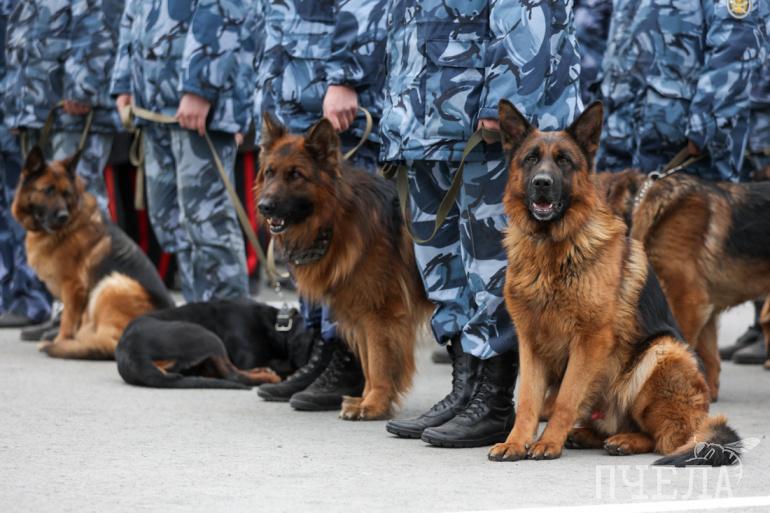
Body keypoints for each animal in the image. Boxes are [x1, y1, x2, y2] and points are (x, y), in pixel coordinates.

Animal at [11, 146, 175, 359]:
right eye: (48, 190)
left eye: (66, 193)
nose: (63, 216)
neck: (70, 223)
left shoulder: (73, 287)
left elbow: (67, 321)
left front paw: (60, 340)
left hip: (112, 284)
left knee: (110, 344)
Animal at [116, 299, 314, 389]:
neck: (277, 327)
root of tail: (132, 354)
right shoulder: (247, 358)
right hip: (207, 337)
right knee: (234, 375)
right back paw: (267, 376)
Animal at [255, 113, 432, 420]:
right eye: (269, 172)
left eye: (295, 174)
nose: (264, 207)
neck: (335, 220)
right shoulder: (360, 312)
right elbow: (369, 364)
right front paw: (365, 399)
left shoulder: (380, 314)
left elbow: (379, 362)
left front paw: (374, 404)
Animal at [488, 101, 738, 466]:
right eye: (531, 159)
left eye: (564, 160)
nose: (542, 183)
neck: (552, 249)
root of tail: (701, 421)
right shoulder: (530, 342)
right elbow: (528, 401)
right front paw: (516, 442)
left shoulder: (589, 340)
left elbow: (565, 398)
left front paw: (548, 443)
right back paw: (589, 435)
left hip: (662, 351)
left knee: (666, 438)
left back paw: (626, 441)